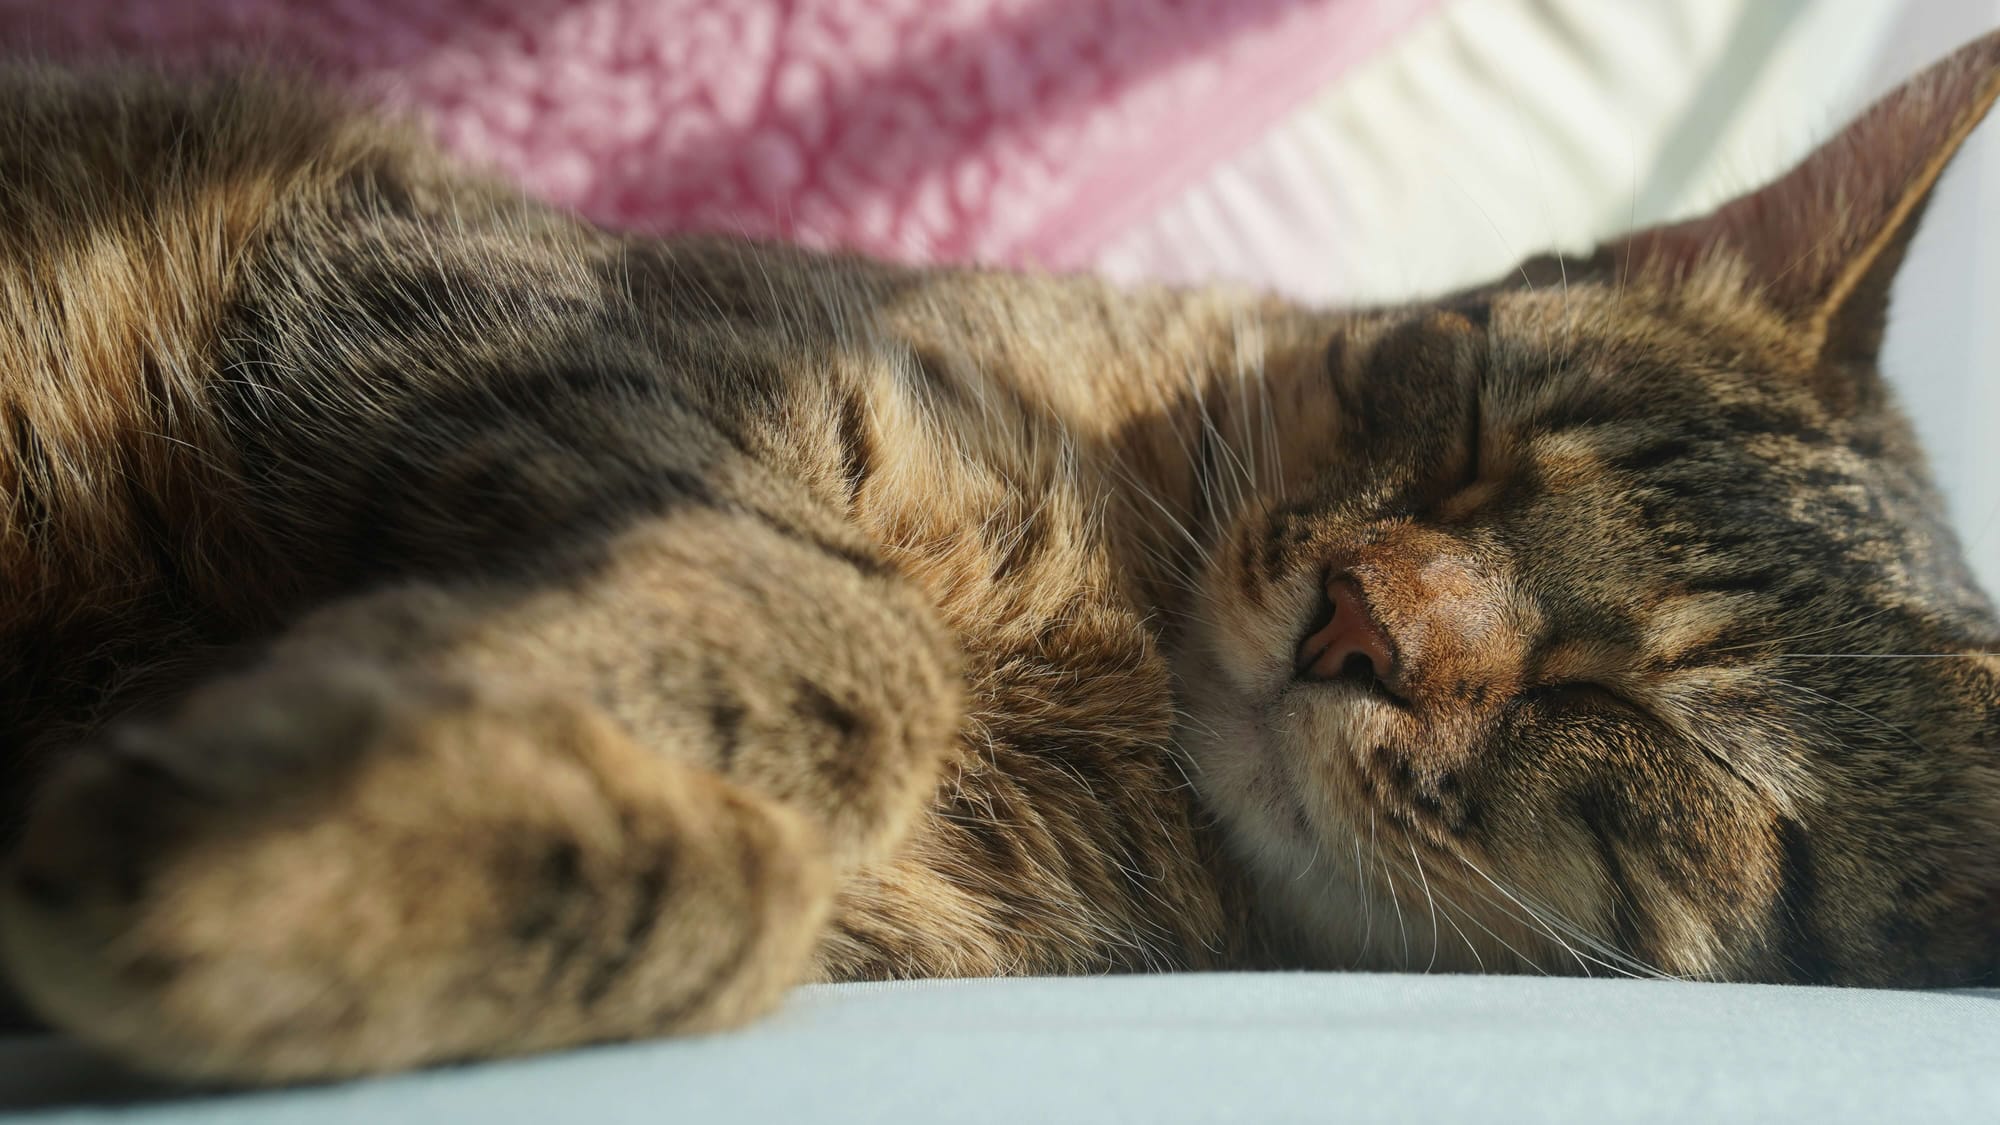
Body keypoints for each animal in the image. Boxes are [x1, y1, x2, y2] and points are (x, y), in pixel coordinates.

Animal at [0, 28, 1992, 1080]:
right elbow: (851, 635)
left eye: (1639, 724)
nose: (1358, 623)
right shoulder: (479, 305)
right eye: (1475, 427)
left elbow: (769, 867)